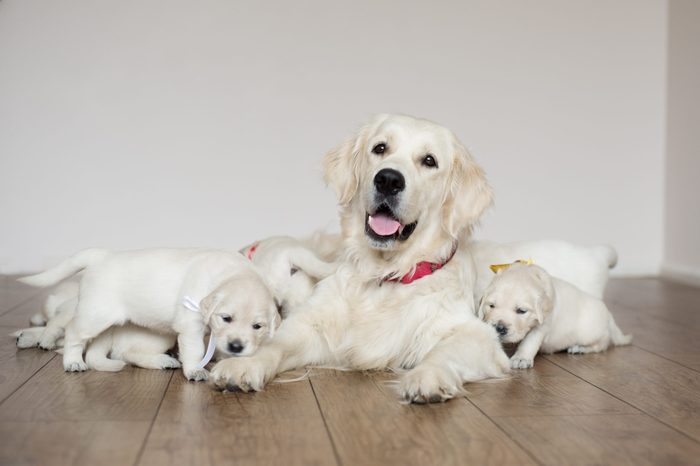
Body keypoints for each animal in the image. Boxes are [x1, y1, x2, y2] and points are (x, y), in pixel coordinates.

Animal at [19, 249, 276, 380]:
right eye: (226, 318)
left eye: (257, 326)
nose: (236, 347)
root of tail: (101, 256)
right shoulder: (191, 325)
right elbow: (196, 350)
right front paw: (195, 369)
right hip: (95, 315)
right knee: (75, 333)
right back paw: (72, 361)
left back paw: (165, 360)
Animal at [211, 114, 512, 402]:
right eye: (380, 148)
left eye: (429, 161)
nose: (388, 179)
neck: (384, 274)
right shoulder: (310, 326)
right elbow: (275, 345)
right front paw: (244, 365)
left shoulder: (478, 335)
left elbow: (444, 353)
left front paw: (426, 377)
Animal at [478, 262, 632, 368]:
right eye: (491, 306)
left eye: (521, 311)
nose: (499, 328)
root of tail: (608, 315)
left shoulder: (543, 325)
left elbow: (530, 341)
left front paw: (521, 358)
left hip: (590, 332)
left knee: (602, 344)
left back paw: (580, 348)